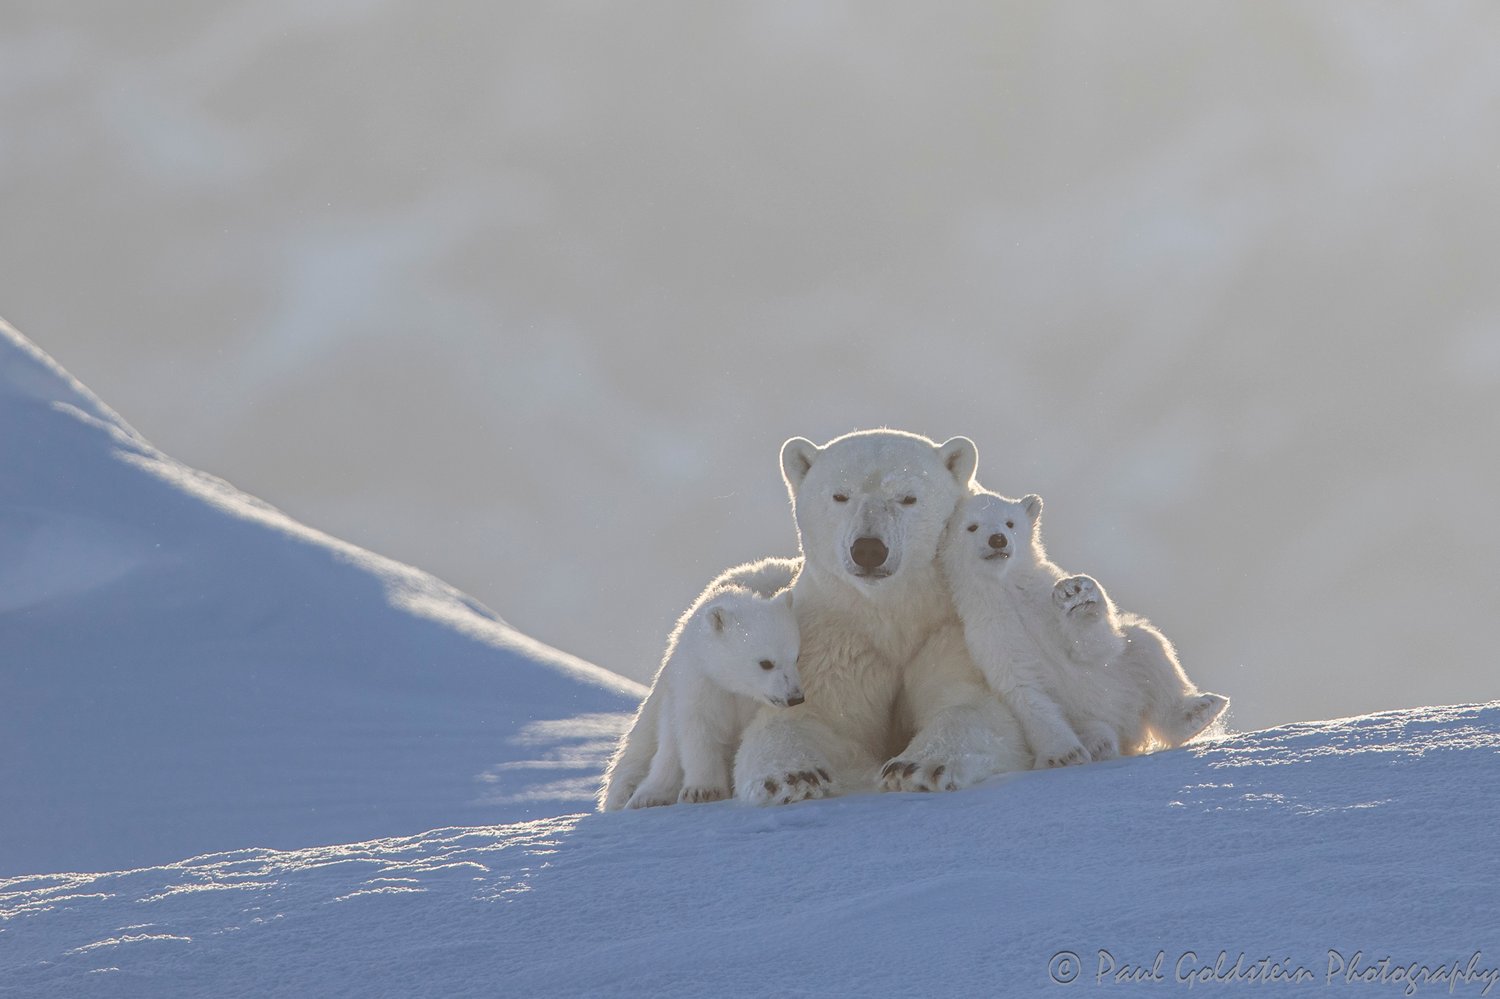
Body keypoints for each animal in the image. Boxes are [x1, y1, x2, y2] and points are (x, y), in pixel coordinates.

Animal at [600, 555, 810, 804]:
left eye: (796, 657)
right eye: (766, 663)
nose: (795, 697)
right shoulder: (701, 680)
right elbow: (698, 729)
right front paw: (702, 791)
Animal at [729, 429, 1032, 804]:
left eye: (908, 498)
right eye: (840, 495)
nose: (869, 550)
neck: (890, 611)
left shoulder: (949, 629)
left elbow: (971, 703)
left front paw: (916, 767)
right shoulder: (832, 640)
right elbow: (805, 717)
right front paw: (792, 777)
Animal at [936, 489, 1230, 762]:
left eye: (1010, 523)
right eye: (972, 526)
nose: (997, 539)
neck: (1007, 588)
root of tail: (1130, 730)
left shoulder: (1041, 599)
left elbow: (1089, 647)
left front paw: (1076, 595)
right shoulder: (989, 632)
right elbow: (1023, 688)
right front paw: (1065, 754)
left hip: (1125, 676)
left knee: (1148, 647)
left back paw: (1196, 712)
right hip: (1084, 717)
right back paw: (1100, 744)